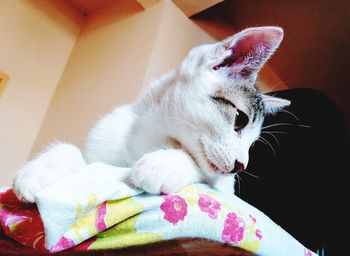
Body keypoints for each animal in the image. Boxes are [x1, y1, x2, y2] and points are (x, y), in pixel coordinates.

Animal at [13, 25, 290, 202]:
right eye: (240, 120)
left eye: (253, 144)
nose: (241, 166)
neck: (152, 133)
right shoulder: (101, 146)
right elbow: (74, 150)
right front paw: (38, 170)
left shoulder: (225, 187)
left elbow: (207, 175)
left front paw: (165, 163)